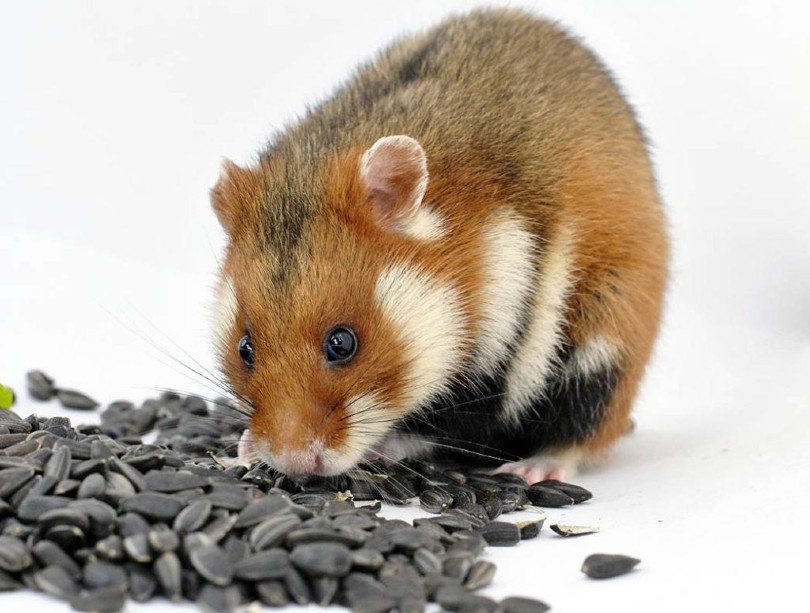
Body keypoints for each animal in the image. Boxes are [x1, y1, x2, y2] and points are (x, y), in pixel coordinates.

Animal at [211, 9, 669, 481]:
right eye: (244, 349)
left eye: (342, 343)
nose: (293, 463)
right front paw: (244, 448)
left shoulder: (507, 337)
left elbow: (452, 423)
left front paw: (381, 448)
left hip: (607, 341)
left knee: (581, 426)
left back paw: (533, 470)